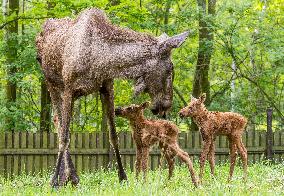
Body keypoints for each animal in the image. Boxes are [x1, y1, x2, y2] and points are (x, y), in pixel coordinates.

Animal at [36, 8, 190, 188]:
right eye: (171, 69)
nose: (166, 106)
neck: (101, 60)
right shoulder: (69, 89)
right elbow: (65, 136)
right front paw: (54, 181)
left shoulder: (107, 87)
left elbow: (114, 136)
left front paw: (123, 176)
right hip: (51, 84)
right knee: (59, 124)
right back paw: (67, 177)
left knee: (56, 119)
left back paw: (68, 176)